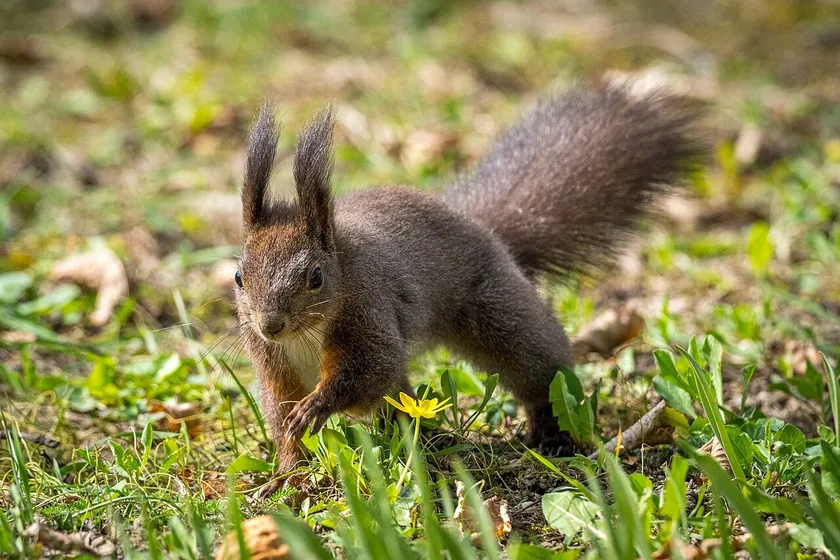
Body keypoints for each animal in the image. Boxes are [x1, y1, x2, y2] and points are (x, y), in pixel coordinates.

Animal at [234, 80, 704, 473]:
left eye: (315, 277)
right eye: (239, 276)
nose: (270, 325)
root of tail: (478, 225)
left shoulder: (369, 312)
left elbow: (369, 373)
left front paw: (316, 406)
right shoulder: (271, 361)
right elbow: (280, 411)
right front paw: (287, 471)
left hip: (498, 312)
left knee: (540, 370)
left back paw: (552, 434)